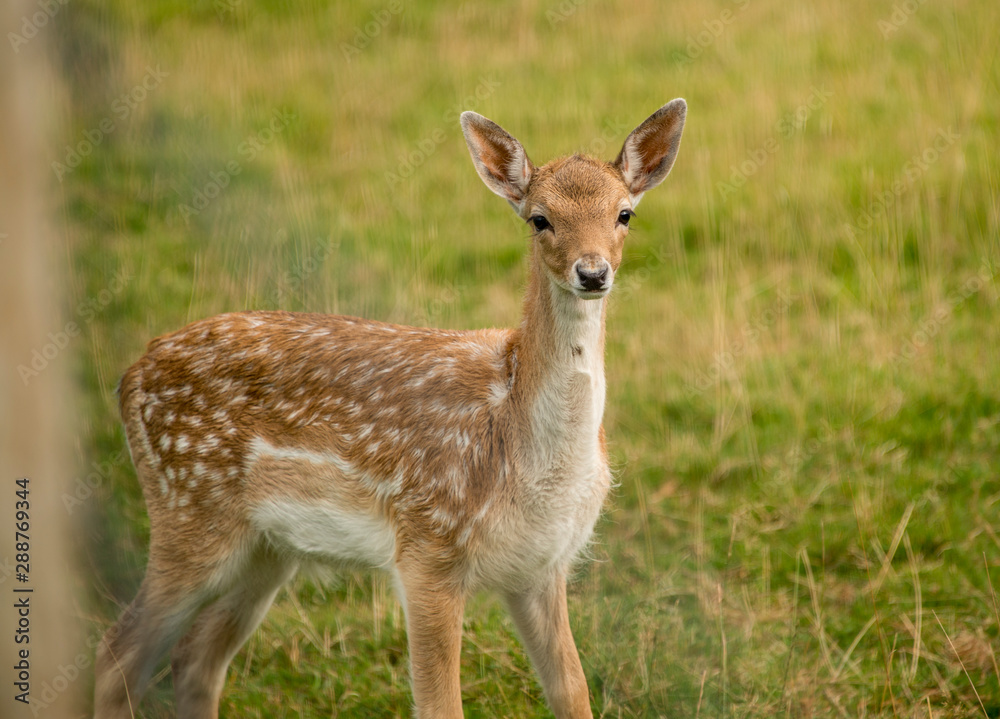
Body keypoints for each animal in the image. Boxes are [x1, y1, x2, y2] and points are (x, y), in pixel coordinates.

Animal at [94, 100, 684, 719]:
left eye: (624, 214)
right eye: (538, 219)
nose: (592, 273)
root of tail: (129, 377)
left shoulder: (541, 567)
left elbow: (574, 692)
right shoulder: (426, 548)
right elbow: (441, 706)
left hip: (267, 548)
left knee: (196, 659)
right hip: (188, 512)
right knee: (117, 656)